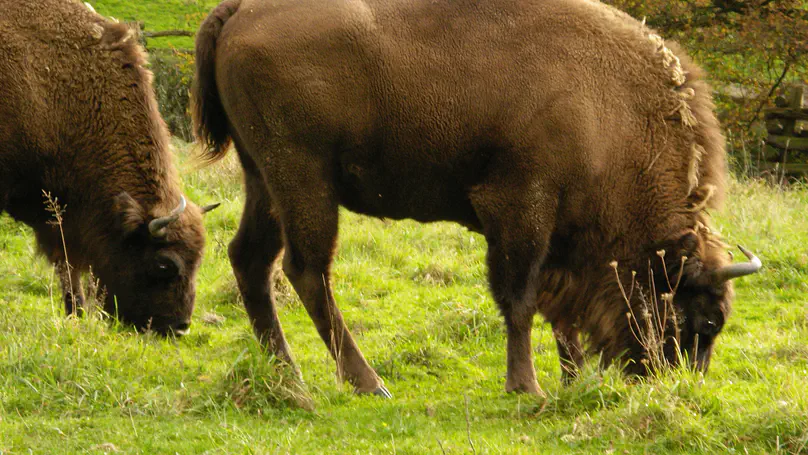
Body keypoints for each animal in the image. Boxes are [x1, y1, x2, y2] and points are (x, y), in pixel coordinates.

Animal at [193, 0, 760, 396]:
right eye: (706, 318)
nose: (676, 381)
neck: (611, 111)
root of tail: (238, 11)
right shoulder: (520, 207)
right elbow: (520, 299)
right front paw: (527, 386)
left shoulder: (558, 234)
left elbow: (558, 310)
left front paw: (573, 378)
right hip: (303, 178)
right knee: (306, 271)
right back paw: (367, 382)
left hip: (263, 180)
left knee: (250, 259)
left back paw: (286, 373)